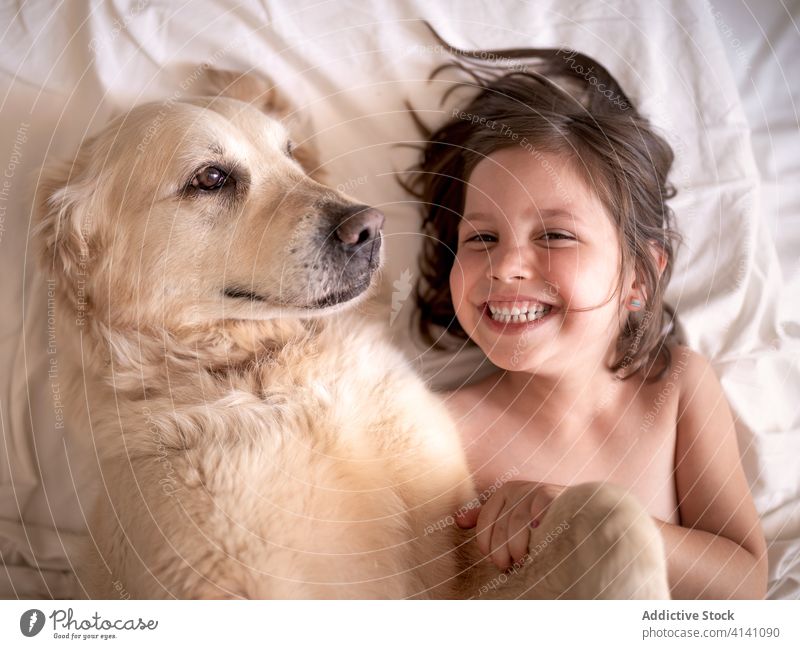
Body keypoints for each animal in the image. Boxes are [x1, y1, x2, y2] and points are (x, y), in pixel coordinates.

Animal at [37, 69, 672, 596]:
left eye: (289, 153)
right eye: (210, 178)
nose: (368, 226)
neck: (271, 367)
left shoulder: (461, 559)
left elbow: (615, 512)